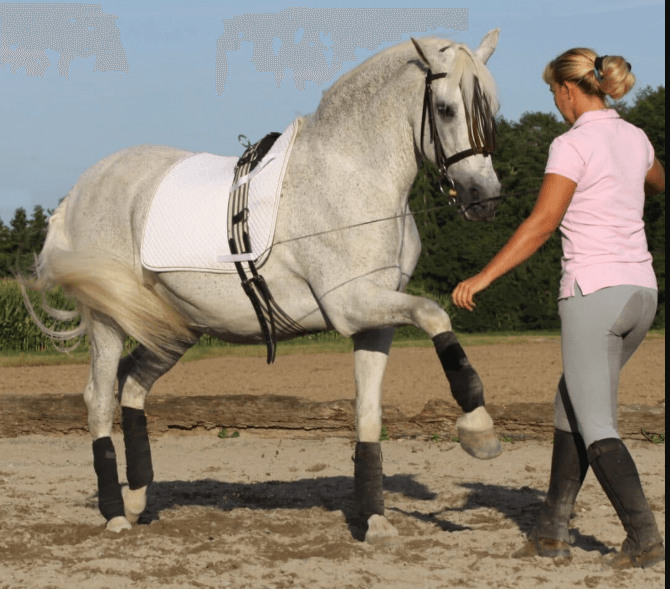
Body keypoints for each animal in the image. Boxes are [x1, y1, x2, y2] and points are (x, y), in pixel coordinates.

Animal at [22, 30, 503, 545]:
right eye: (447, 109)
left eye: (491, 109)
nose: (485, 197)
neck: (352, 175)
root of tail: (77, 193)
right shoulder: (352, 306)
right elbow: (436, 313)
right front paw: (478, 429)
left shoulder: (376, 323)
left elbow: (369, 413)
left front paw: (375, 520)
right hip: (109, 319)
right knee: (98, 397)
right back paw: (114, 513)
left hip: (174, 327)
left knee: (132, 383)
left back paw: (136, 498)